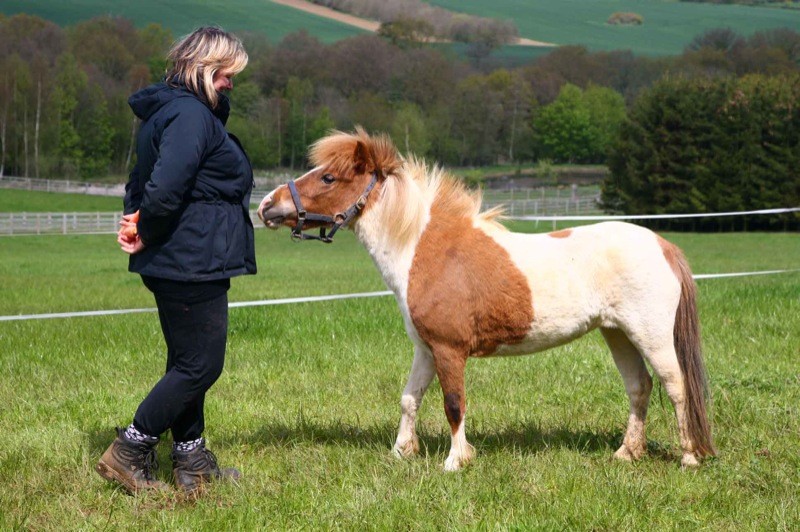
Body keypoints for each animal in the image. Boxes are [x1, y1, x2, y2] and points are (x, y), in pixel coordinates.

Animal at [260, 128, 716, 470]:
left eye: (328, 178)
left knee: (676, 386)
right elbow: (410, 398)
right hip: (616, 332)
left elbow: (453, 404)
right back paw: (626, 453)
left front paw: (454, 461)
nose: (267, 205)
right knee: (639, 387)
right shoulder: (425, 349)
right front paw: (401, 451)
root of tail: (663, 245)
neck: (426, 250)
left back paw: (689, 457)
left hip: (650, 334)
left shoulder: (449, 349)